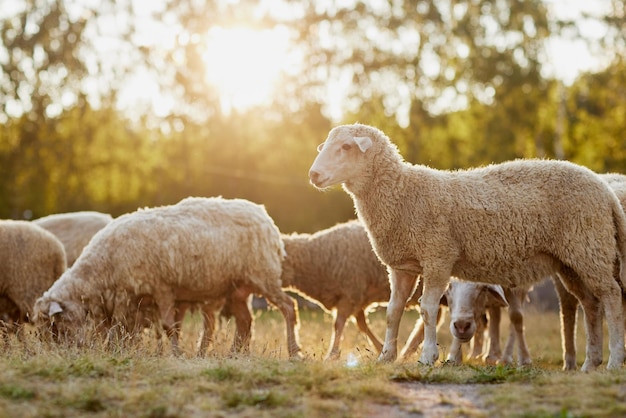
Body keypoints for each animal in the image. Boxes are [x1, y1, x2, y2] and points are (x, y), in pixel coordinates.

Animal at [33, 198, 302, 358]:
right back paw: (236, 354)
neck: (102, 268)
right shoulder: (129, 300)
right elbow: (125, 329)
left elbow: (168, 326)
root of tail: (262, 213)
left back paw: (293, 352)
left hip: (263, 273)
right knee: (245, 321)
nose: (63, 355)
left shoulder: (161, 287)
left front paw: (174, 353)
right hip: (237, 286)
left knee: (289, 307)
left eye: (56, 325)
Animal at [308, 122, 624, 370]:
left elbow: (427, 309)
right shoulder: (401, 267)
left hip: (589, 246)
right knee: (591, 303)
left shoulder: (437, 256)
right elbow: (393, 312)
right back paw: (590, 363)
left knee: (611, 296)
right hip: (573, 260)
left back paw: (613, 361)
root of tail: (605, 190)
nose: (313, 175)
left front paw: (428, 357)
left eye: (346, 146)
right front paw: (386, 356)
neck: (403, 193)